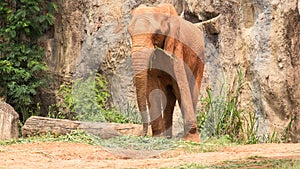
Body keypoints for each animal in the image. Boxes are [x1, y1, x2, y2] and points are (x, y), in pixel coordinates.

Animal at [127, 3, 205, 142]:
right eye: (129, 33)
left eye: (157, 33)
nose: (141, 134)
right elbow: (152, 86)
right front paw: (157, 138)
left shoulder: (177, 46)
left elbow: (181, 84)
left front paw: (191, 140)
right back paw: (168, 137)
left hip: (200, 61)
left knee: (191, 90)